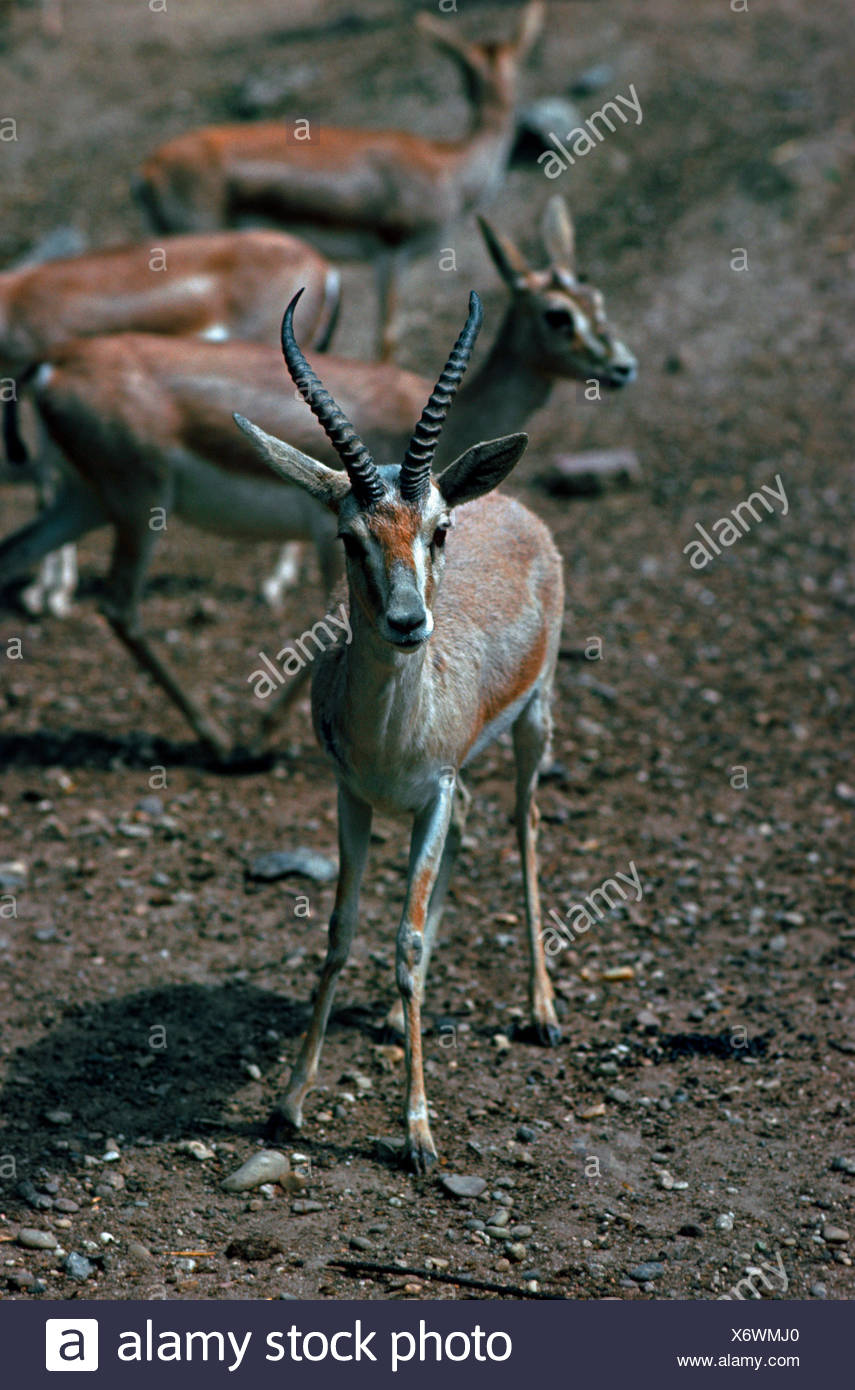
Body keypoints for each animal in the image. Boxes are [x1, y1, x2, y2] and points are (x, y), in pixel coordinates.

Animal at [0, 229, 340, 616]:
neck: (16, 302)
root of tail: (324, 269)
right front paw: (44, 591)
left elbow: (46, 485)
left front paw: (52, 596)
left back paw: (274, 585)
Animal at [234, 289, 562, 1172]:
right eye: (351, 536)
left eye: (437, 529)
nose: (409, 623)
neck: (390, 733)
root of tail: (510, 504)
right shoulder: (354, 796)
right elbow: (341, 933)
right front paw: (288, 1103)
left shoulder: (432, 791)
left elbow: (407, 942)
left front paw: (418, 1132)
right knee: (477, 826)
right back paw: (389, 1018)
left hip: (536, 720)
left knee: (521, 825)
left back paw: (542, 1010)